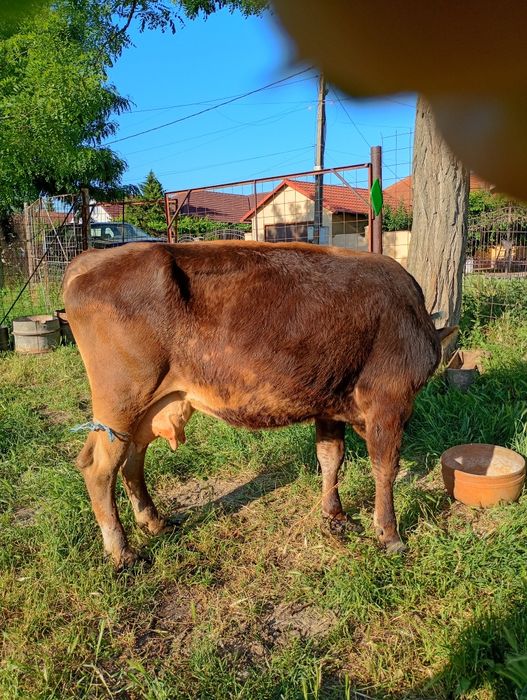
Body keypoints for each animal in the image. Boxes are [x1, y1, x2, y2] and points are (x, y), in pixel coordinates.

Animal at [63, 240, 450, 568]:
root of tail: (95, 258)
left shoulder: (328, 403)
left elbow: (330, 459)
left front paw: (335, 516)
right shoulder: (391, 400)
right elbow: (385, 467)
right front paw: (390, 535)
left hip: (146, 407)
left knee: (132, 460)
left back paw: (154, 522)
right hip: (122, 401)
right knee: (99, 466)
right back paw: (122, 551)